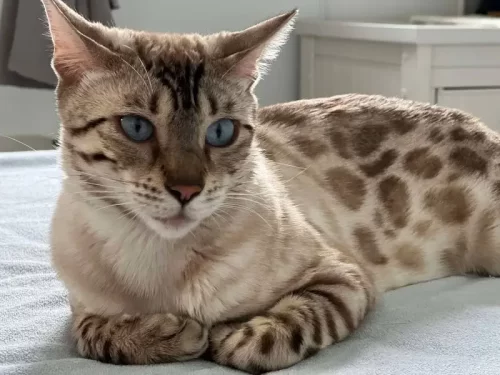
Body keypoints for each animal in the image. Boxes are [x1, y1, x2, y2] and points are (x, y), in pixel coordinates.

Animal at [41, 0, 500, 374]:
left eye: (221, 132)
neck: (159, 261)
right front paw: (175, 333)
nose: (187, 191)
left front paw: (221, 335)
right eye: (135, 127)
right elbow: (91, 335)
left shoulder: (342, 277)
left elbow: (269, 337)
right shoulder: (79, 307)